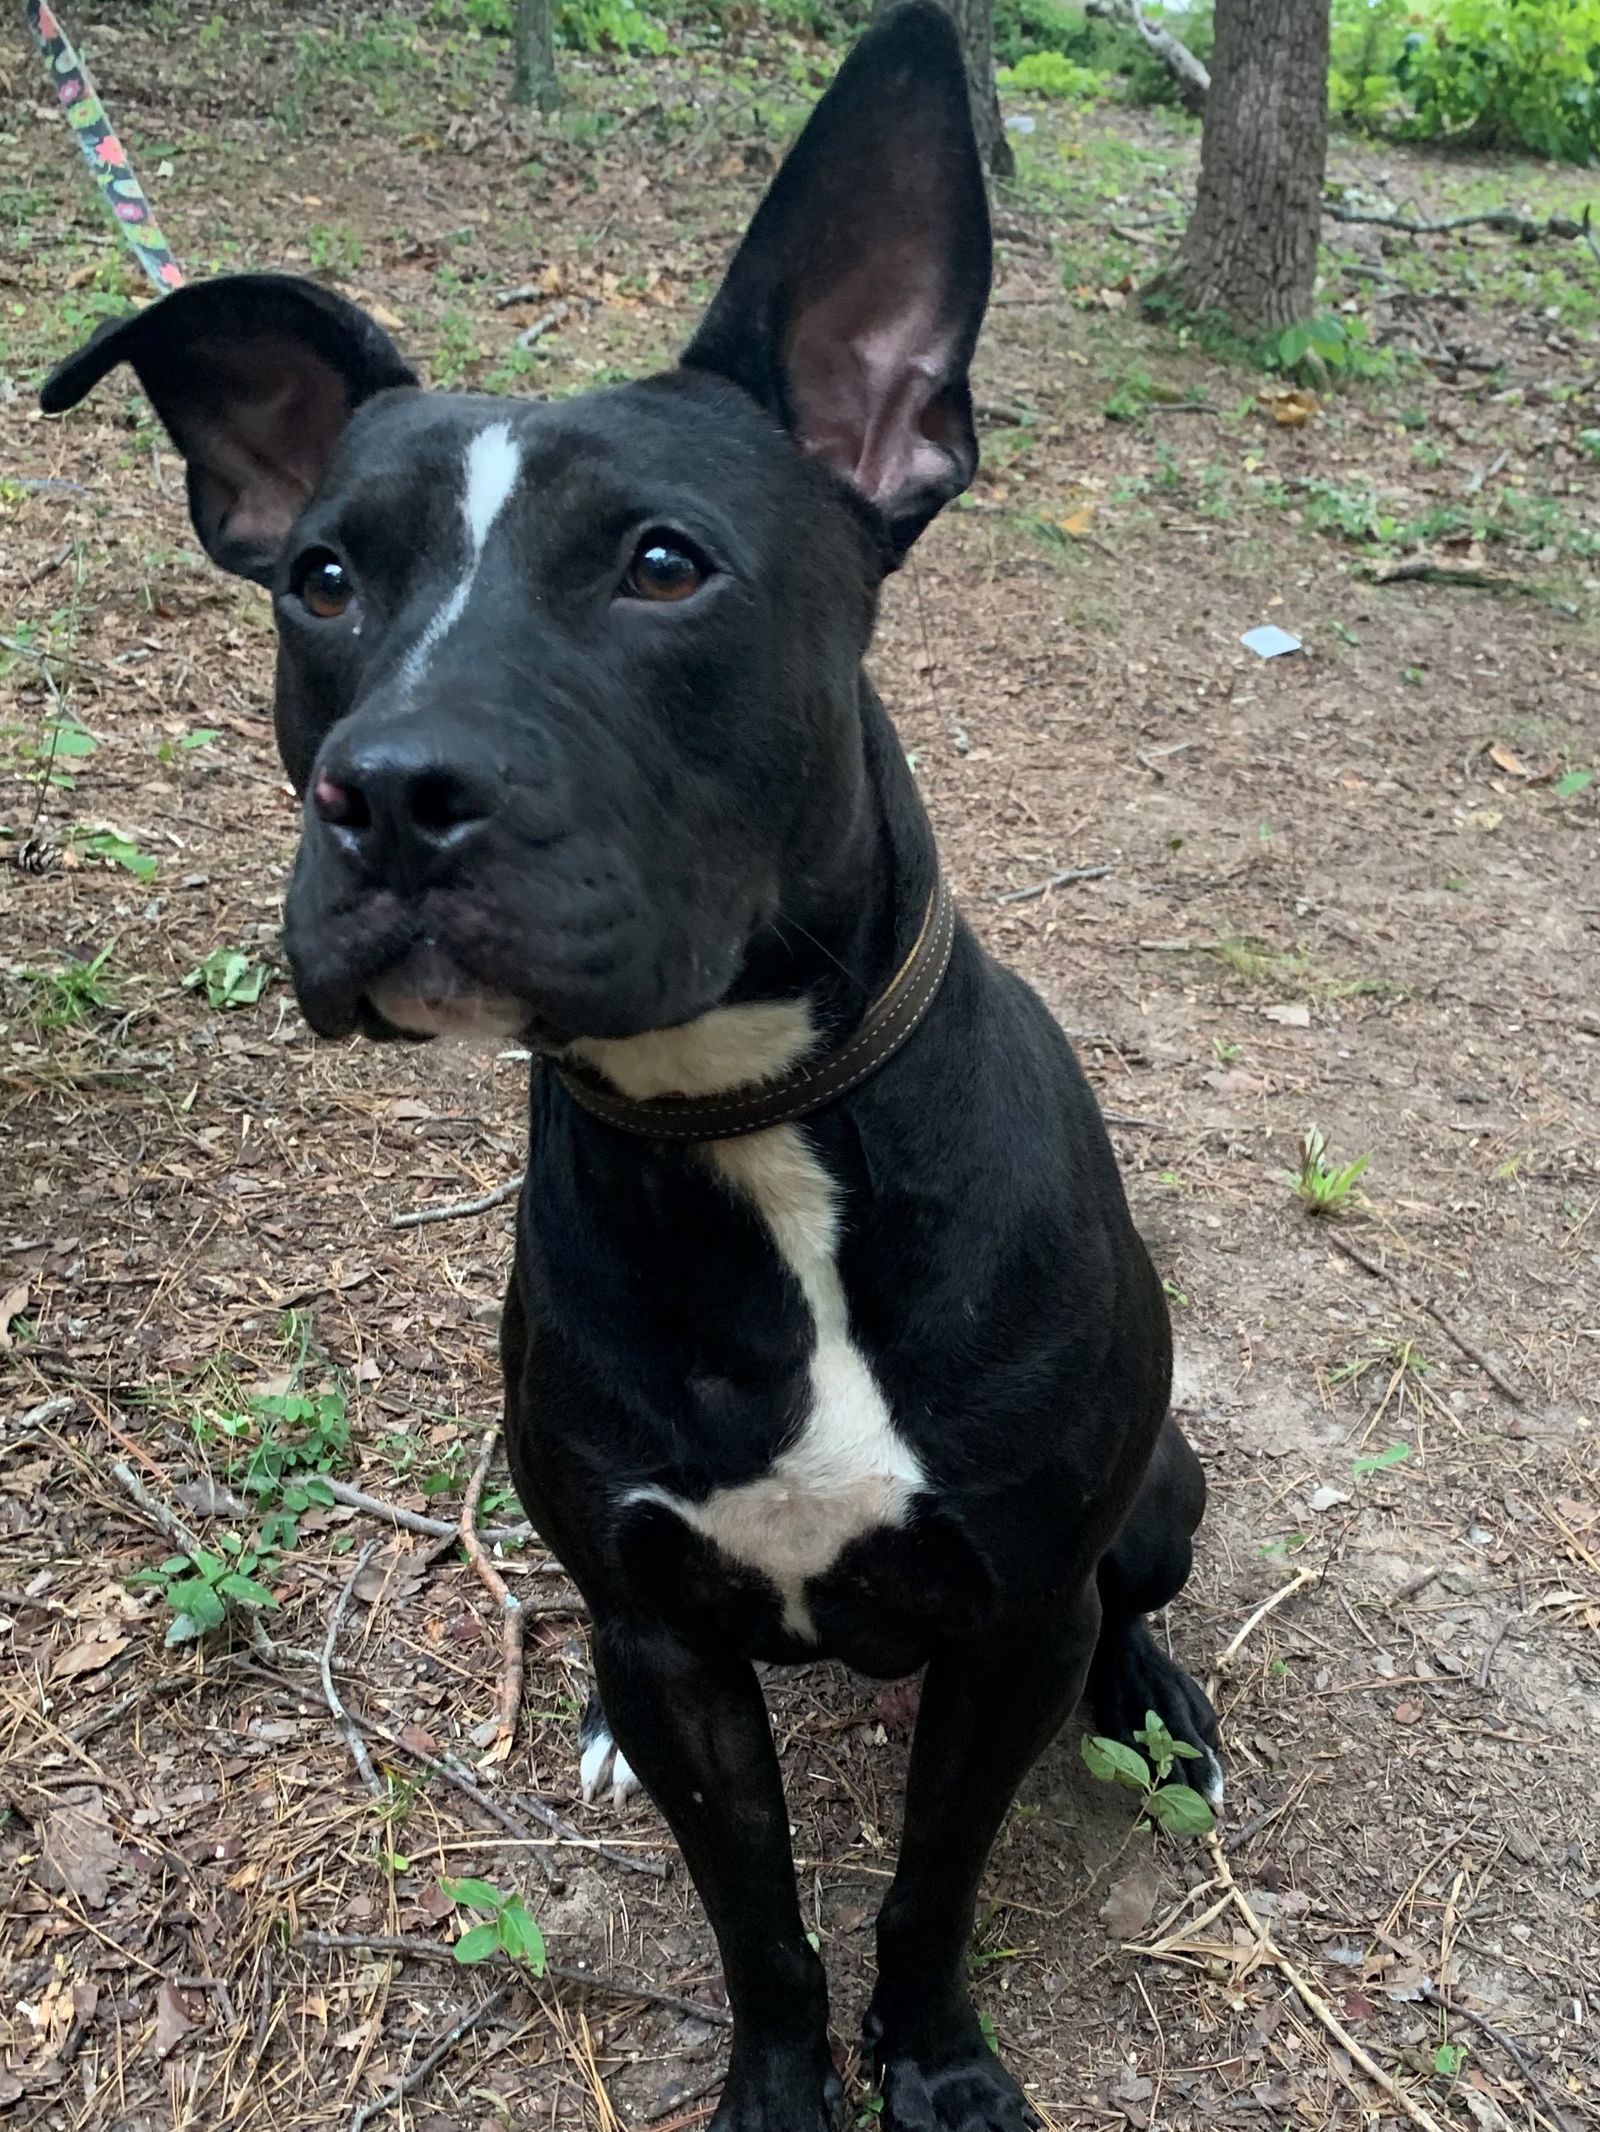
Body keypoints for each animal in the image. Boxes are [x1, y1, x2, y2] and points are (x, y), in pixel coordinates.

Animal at [43, 8, 1220, 2123]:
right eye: (323, 580)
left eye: (666, 565)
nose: (389, 797)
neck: (741, 1129)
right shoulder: (679, 1652)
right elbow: (761, 1916)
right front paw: (780, 2082)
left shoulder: (1012, 1617)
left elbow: (927, 1887)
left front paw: (937, 2063)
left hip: (1152, 1500)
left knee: (1131, 1598)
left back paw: (1158, 1698)